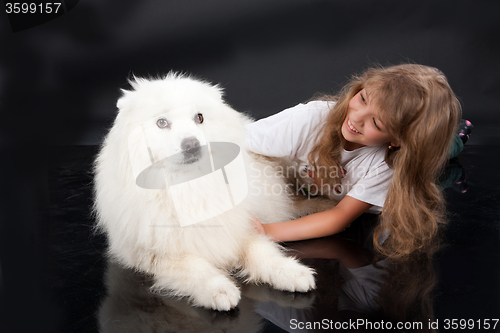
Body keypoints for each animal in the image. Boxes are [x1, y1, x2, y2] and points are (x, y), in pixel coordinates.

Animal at [92, 72, 314, 308]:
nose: (191, 144)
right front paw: (218, 289)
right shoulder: (156, 254)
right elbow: (195, 267)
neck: (188, 185)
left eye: (199, 118)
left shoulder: (239, 228)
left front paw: (290, 272)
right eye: (162, 122)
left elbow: (262, 251)